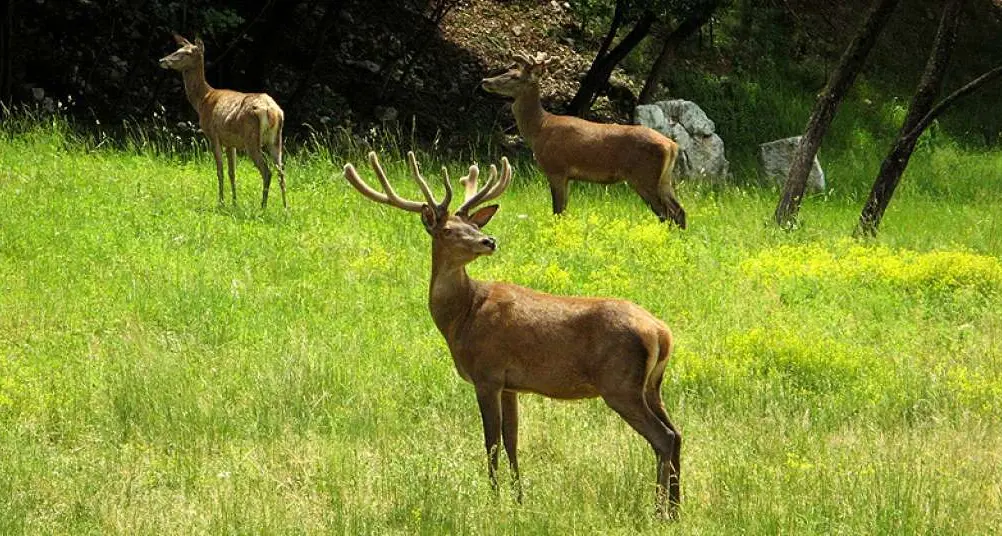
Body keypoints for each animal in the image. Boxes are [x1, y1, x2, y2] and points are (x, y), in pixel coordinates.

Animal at [159, 34, 287, 209]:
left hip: (251, 139)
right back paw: (285, 208)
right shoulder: (230, 142)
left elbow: (219, 170)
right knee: (281, 171)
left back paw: (263, 207)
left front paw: (221, 202)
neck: (202, 100)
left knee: (267, 171)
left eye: (186, 53)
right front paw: (234, 202)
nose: (162, 60)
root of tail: (271, 110)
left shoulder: (213, 135)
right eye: (177, 49)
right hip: (276, 139)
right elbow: (232, 172)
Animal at [342, 151, 683, 519]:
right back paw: (676, 508)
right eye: (448, 229)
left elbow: (490, 441)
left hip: (620, 384)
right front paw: (519, 498)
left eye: (475, 226)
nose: (489, 241)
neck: (462, 316)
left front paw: (493, 499)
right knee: (676, 434)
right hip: (651, 385)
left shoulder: (486, 373)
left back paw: (660, 510)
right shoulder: (511, 384)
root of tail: (661, 333)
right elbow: (512, 440)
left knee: (663, 437)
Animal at [481, 51, 686, 229]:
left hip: (644, 176)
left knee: (667, 213)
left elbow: (558, 211)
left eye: (514, 76)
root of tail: (672, 146)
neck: (539, 129)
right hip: (664, 179)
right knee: (679, 211)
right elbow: (563, 210)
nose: (485, 80)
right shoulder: (568, 176)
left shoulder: (556, 168)